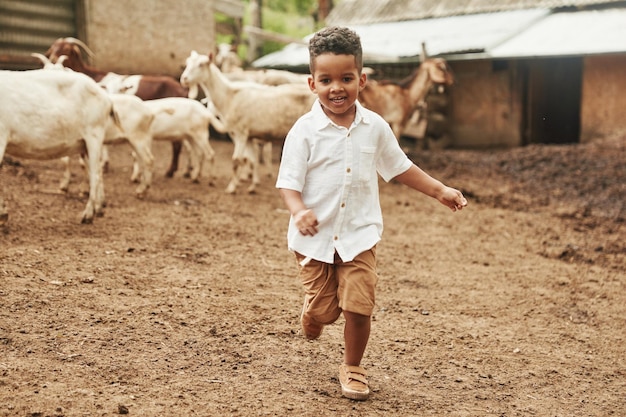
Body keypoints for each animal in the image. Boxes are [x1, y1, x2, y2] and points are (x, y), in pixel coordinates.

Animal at [0, 69, 116, 224]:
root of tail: (104, 95)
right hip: (84, 145)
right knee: (97, 171)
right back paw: (99, 209)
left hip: (94, 135)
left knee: (95, 175)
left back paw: (87, 215)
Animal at [44, 37, 188, 177]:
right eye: (54, 47)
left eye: (66, 49)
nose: (53, 59)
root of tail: (180, 88)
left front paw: (103, 164)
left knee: (177, 144)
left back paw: (170, 171)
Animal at [180, 50, 316, 193]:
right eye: (188, 63)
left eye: (201, 64)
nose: (184, 79)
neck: (229, 96)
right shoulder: (249, 136)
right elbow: (252, 160)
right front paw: (252, 186)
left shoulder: (241, 133)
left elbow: (236, 160)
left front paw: (231, 188)